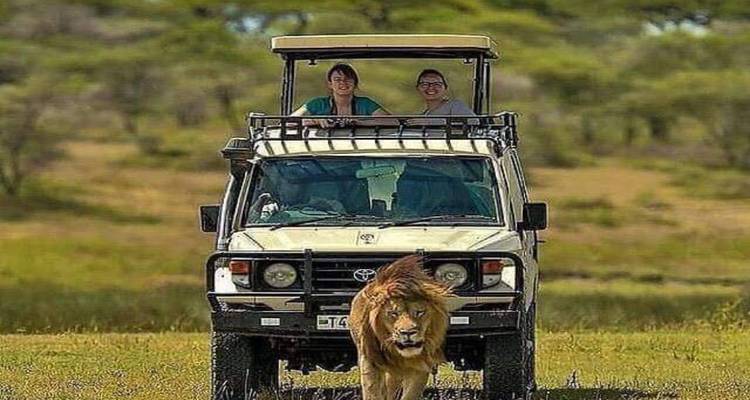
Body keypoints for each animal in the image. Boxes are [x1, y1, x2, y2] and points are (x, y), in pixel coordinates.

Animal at [349, 255, 452, 400]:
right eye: (393, 313)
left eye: (419, 312)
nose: (407, 332)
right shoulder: (370, 361)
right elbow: (372, 392)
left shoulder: (420, 366)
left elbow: (410, 394)